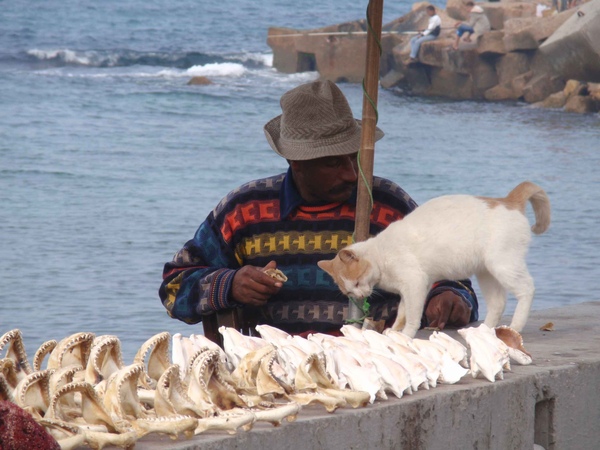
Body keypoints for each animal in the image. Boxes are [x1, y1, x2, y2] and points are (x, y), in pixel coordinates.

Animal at [318, 181, 552, 336]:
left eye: (357, 283)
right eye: (349, 291)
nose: (359, 294)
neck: (380, 255)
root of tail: (507, 201)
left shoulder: (415, 284)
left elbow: (412, 316)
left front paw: (405, 335)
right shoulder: (408, 290)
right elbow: (402, 312)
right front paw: (394, 330)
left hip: (503, 265)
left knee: (527, 289)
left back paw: (516, 326)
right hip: (486, 273)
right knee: (498, 303)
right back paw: (483, 332)